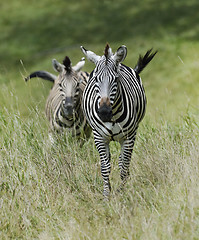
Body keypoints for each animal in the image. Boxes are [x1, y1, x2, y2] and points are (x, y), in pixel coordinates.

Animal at [81, 44, 157, 198]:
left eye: (116, 79)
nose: (104, 112)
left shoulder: (129, 136)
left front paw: (122, 192)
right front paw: (106, 195)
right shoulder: (99, 137)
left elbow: (124, 166)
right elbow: (105, 168)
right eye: (96, 79)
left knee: (123, 161)